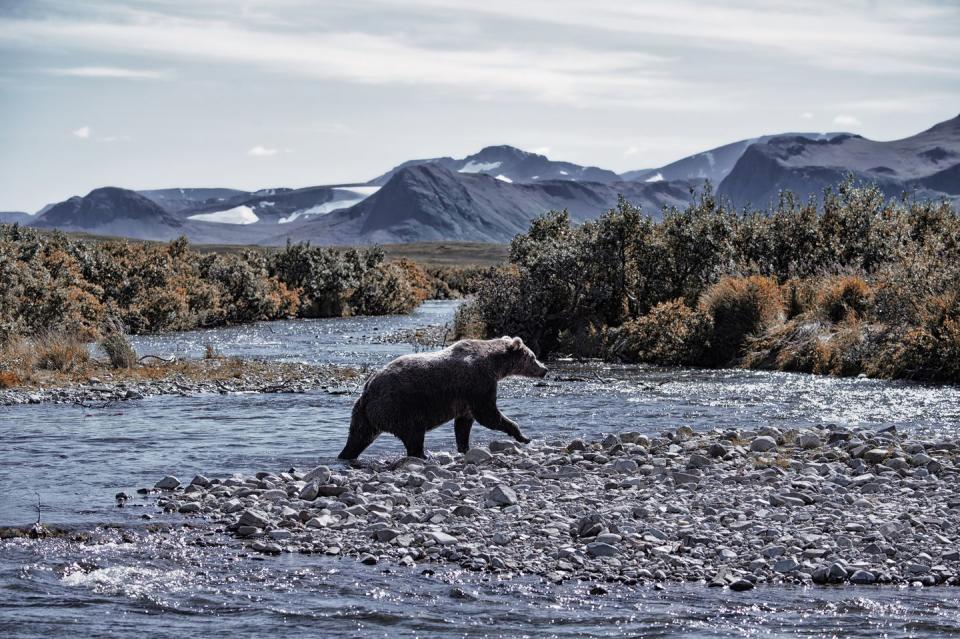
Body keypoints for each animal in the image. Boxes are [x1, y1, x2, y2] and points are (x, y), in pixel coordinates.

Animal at [338, 336, 548, 460]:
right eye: (532, 357)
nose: (545, 369)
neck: (494, 365)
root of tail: (367, 390)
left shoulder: (466, 399)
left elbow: (463, 424)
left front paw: (464, 447)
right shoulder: (478, 383)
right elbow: (488, 414)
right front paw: (522, 435)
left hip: (364, 415)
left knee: (359, 436)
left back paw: (345, 455)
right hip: (400, 406)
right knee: (413, 435)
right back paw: (422, 455)